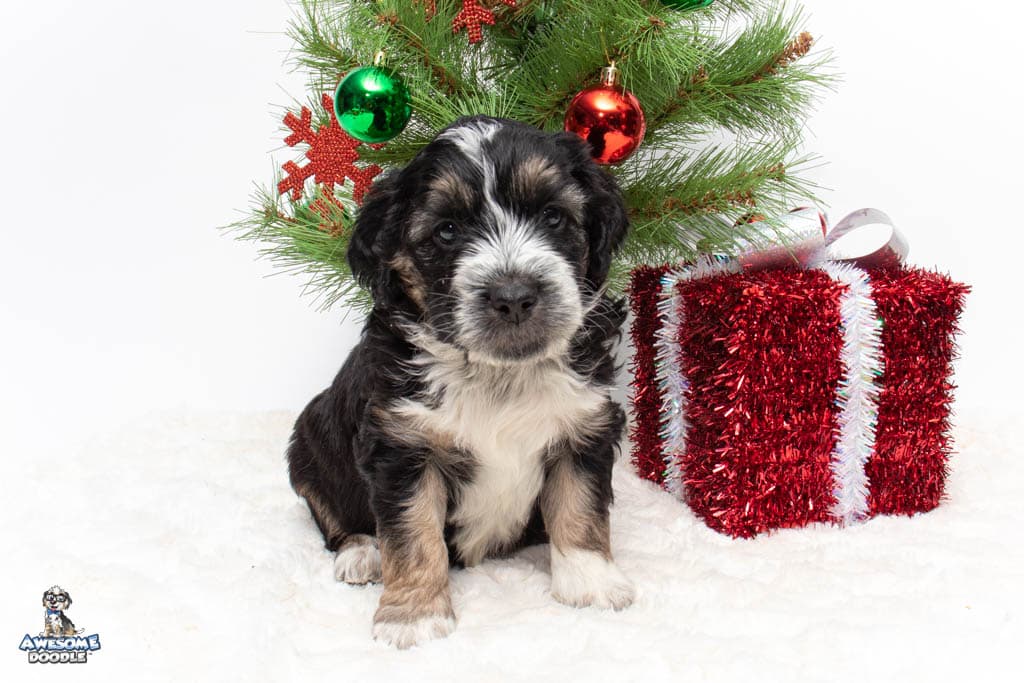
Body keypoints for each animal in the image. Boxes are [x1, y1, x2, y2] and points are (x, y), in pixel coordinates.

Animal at [288, 116, 633, 649]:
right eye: (447, 231)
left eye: (553, 217)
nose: (514, 295)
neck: (497, 373)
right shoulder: (401, 447)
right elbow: (413, 535)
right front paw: (413, 616)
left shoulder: (585, 426)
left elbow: (581, 506)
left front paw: (589, 581)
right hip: (306, 449)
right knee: (332, 514)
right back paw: (360, 553)